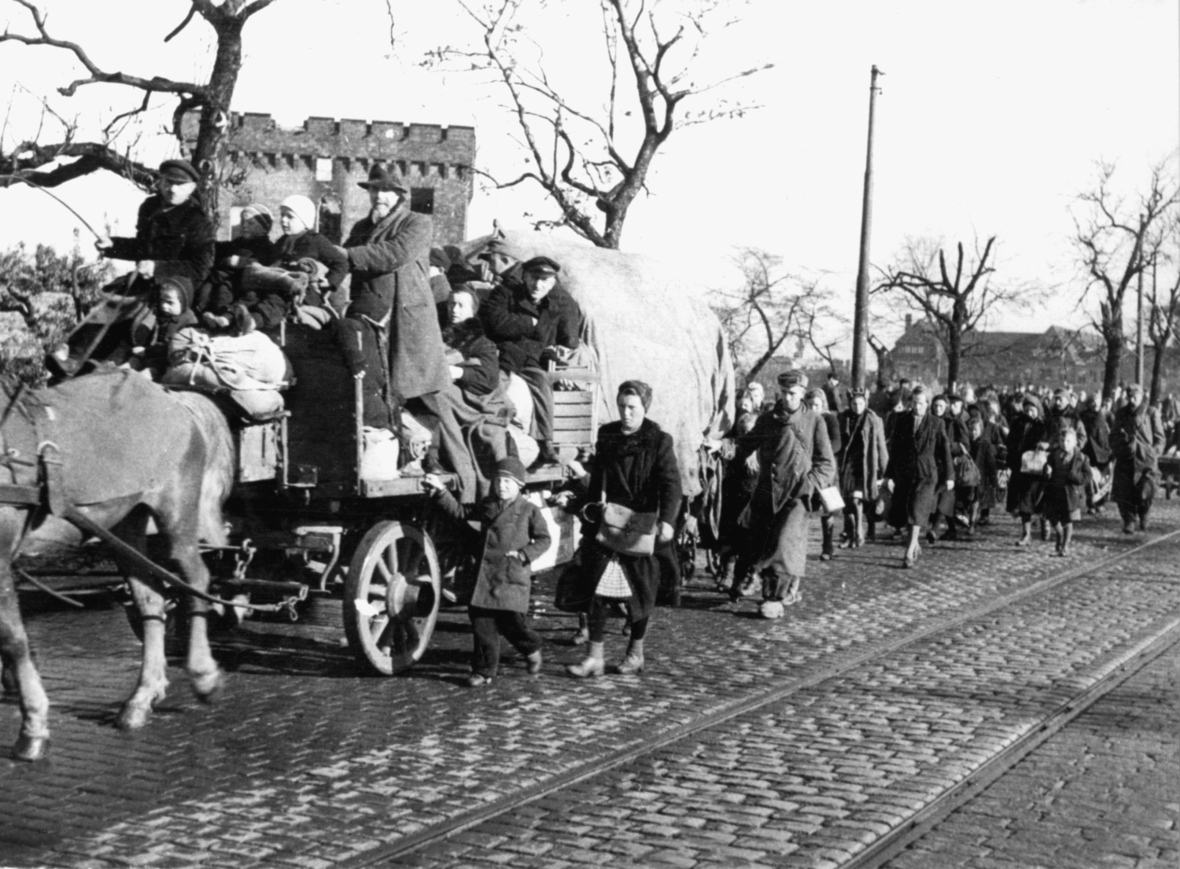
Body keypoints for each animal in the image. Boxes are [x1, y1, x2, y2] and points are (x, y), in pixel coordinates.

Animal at [0, 368, 234, 760]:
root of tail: (171, 397)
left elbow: (13, 639)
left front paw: (33, 728)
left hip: (176, 515)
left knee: (196, 580)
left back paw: (203, 675)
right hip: (124, 526)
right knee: (151, 600)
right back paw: (140, 699)